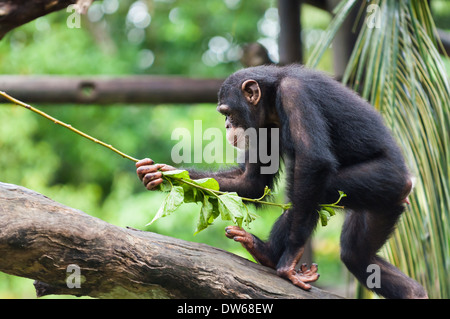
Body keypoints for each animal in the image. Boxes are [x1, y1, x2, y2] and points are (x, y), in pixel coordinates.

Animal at [137, 65, 428, 300]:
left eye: (227, 112)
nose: (227, 125)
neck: (272, 97)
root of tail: (408, 183)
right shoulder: (263, 127)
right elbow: (252, 181)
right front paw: (161, 173)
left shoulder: (295, 94)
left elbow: (313, 161)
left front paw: (289, 261)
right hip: (384, 205)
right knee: (357, 255)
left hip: (384, 179)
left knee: (314, 189)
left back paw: (270, 254)